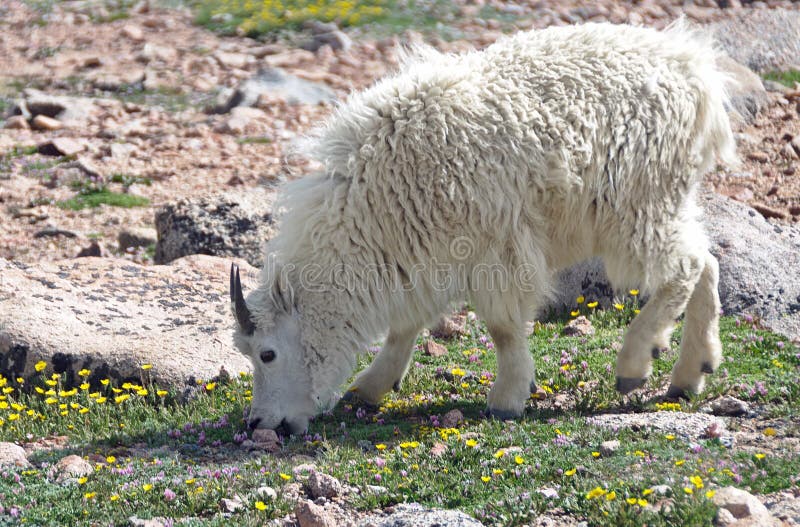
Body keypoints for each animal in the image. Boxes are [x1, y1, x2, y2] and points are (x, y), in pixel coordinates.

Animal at [228, 20, 736, 434]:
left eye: (267, 353)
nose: (260, 423)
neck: (375, 202)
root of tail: (697, 73)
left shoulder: (493, 247)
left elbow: (502, 327)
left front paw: (506, 399)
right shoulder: (422, 256)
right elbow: (405, 325)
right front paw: (370, 387)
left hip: (637, 201)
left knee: (684, 265)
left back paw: (634, 363)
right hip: (666, 199)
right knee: (705, 259)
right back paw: (691, 373)